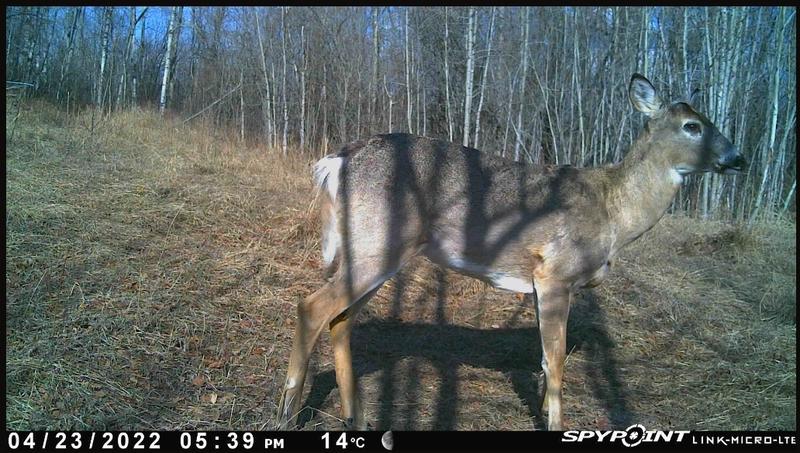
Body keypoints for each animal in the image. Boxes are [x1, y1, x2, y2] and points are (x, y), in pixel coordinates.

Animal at [276, 74, 744, 430]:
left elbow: (544, 359)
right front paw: (556, 425)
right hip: (378, 245)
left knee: (340, 319)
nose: (738, 158)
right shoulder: (556, 273)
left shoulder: (542, 283)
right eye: (692, 126)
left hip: (374, 249)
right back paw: (287, 415)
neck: (614, 213)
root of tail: (336, 161)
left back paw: (357, 418)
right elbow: (555, 362)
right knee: (312, 308)